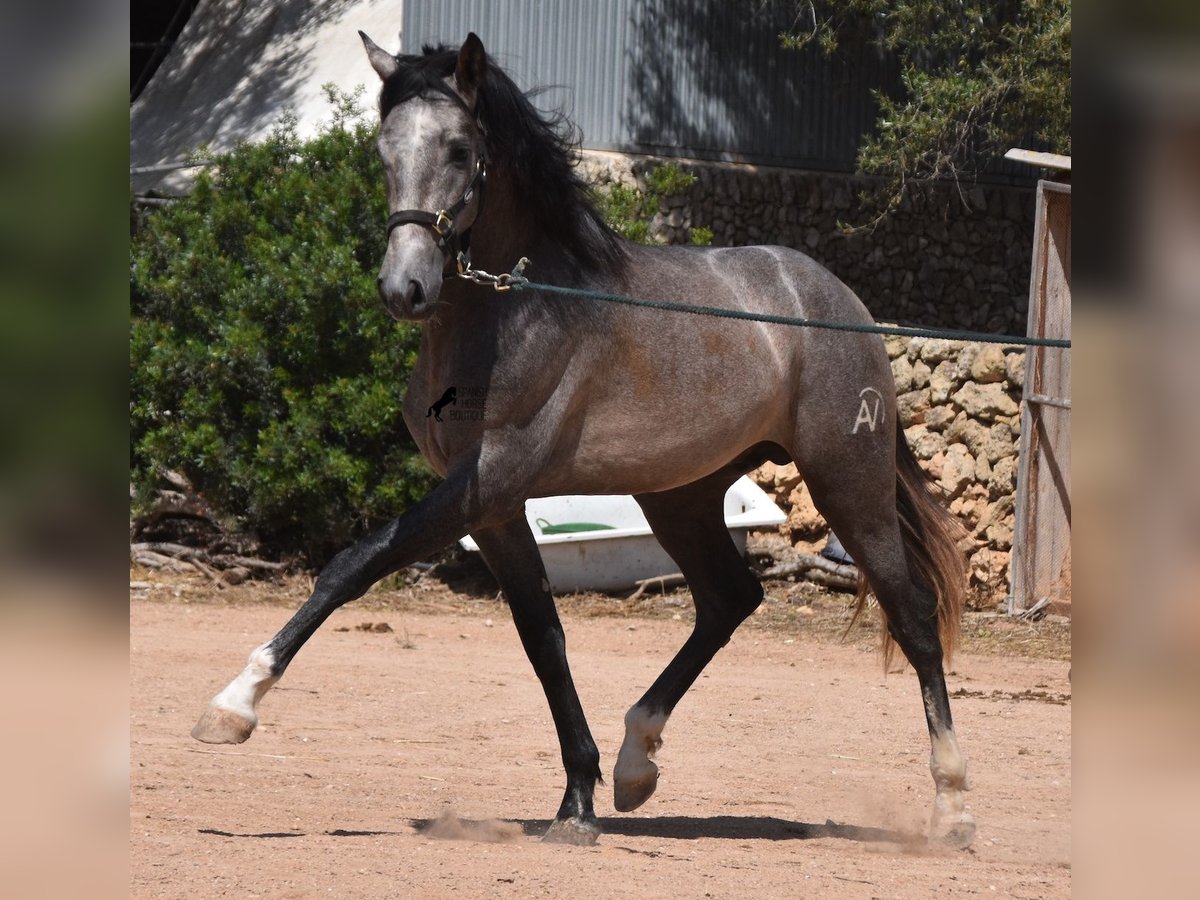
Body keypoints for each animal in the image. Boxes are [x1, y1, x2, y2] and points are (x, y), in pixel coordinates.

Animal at [189, 31, 974, 854]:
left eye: (461, 149)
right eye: (383, 150)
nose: (405, 289)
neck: (516, 311)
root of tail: (838, 299)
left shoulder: (489, 480)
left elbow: (351, 564)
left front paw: (233, 706)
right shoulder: (495, 510)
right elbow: (544, 639)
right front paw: (577, 803)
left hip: (846, 478)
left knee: (914, 617)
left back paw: (952, 809)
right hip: (680, 496)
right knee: (729, 599)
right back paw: (636, 763)